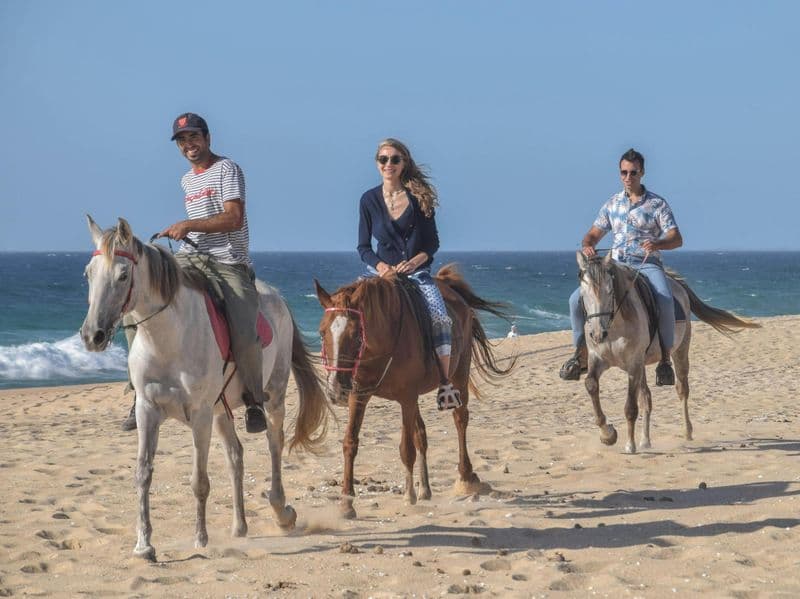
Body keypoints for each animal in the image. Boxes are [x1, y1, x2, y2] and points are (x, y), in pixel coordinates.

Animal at [80, 216, 330, 561]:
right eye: (88, 274)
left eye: (123, 275)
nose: (92, 335)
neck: (168, 339)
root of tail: (276, 295)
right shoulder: (148, 410)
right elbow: (143, 473)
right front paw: (144, 545)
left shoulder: (199, 416)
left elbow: (199, 480)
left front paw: (200, 538)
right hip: (221, 411)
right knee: (235, 456)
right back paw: (239, 526)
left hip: (273, 395)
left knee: (274, 443)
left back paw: (282, 512)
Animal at [314, 265, 515, 519]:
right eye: (322, 333)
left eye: (358, 335)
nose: (336, 389)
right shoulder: (358, 395)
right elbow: (350, 443)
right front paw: (346, 503)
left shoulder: (406, 398)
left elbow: (406, 449)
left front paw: (408, 495)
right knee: (422, 433)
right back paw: (425, 489)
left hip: (459, 373)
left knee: (460, 419)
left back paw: (465, 476)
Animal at [577, 251, 760, 453]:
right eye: (583, 293)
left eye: (610, 291)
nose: (597, 334)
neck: (615, 326)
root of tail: (676, 283)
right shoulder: (599, 359)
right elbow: (591, 384)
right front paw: (608, 434)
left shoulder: (633, 364)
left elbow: (630, 407)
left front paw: (629, 445)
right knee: (646, 398)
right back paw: (645, 440)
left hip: (680, 351)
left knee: (682, 390)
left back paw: (686, 432)